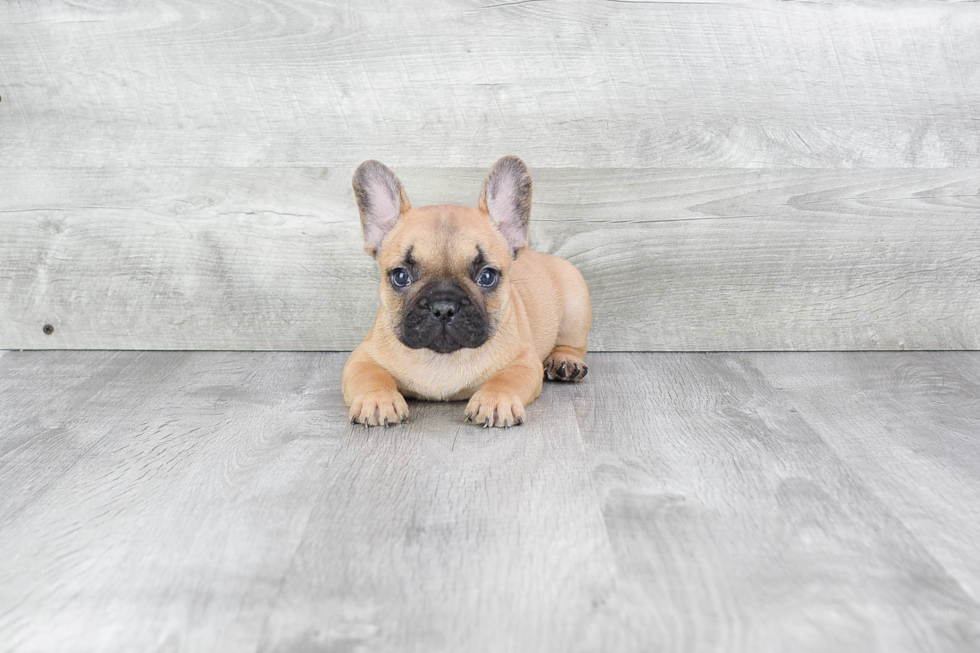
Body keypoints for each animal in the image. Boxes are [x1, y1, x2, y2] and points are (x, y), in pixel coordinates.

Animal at [342, 155, 588, 426]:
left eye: (487, 276)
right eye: (400, 276)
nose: (443, 307)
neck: (442, 357)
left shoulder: (523, 361)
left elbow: (505, 378)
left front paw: (495, 401)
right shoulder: (362, 357)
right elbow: (370, 375)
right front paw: (377, 400)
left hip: (576, 302)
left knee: (573, 343)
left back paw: (565, 361)